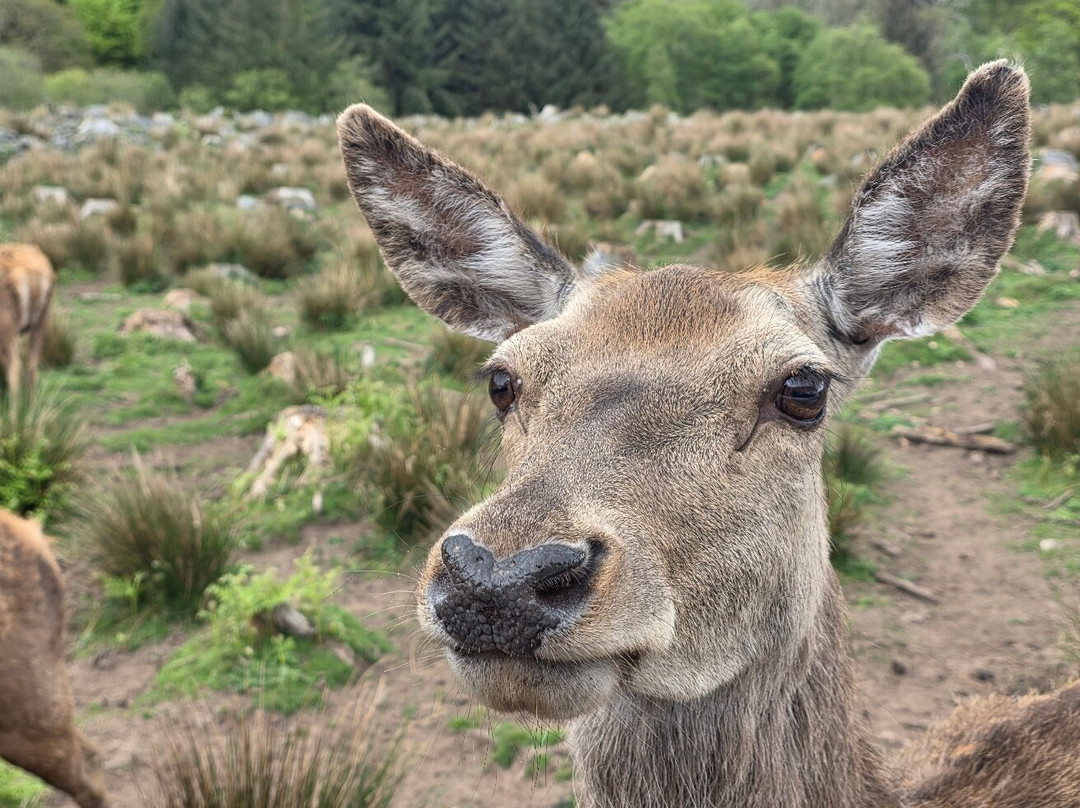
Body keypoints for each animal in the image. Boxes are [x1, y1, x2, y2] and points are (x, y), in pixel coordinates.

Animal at [0, 243, 56, 413]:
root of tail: (33, 274)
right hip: (42, 321)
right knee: (32, 367)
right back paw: (31, 411)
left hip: (7, 326)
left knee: (14, 368)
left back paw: (12, 416)